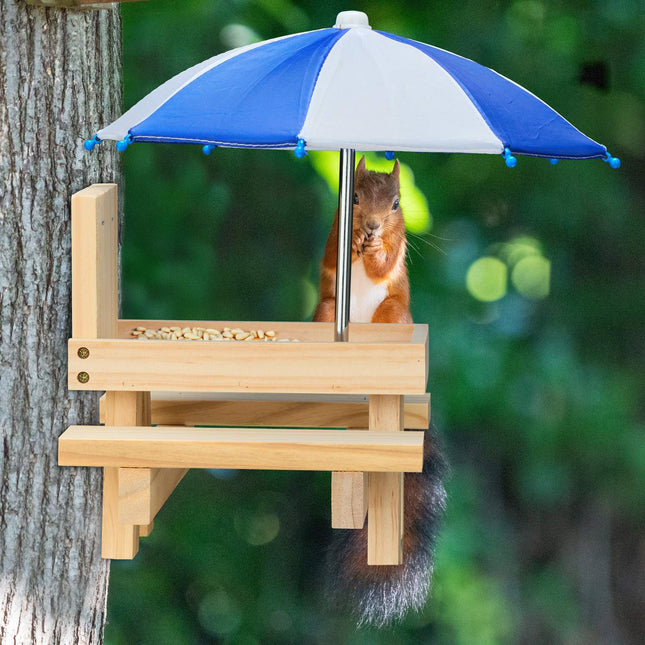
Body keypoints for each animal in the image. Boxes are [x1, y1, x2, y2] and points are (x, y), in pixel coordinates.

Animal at [313, 157, 448, 627]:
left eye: (396, 203)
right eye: (352, 196)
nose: (370, 226)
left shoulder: (399, 246)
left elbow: (386, 263)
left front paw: (372, 252)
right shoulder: (332, 231)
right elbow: (333, 249)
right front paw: (355, 241)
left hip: (395, 314)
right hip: (326, 311)